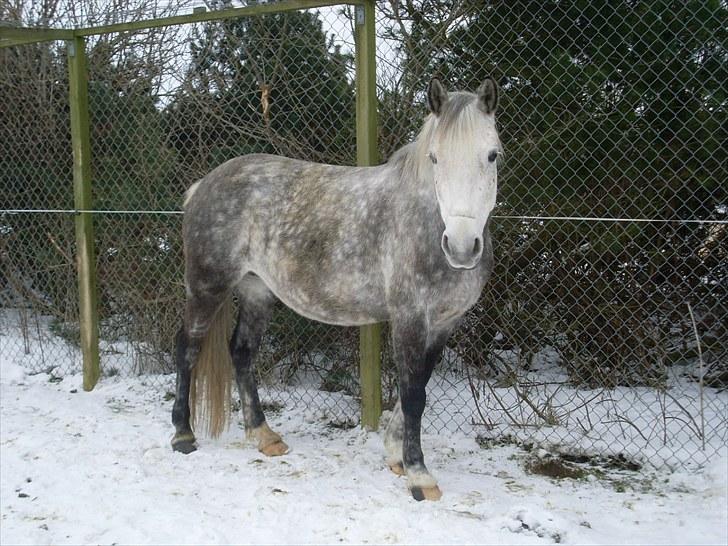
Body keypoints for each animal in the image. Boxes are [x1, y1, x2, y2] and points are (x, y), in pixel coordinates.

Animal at [171, 77, 500, 502]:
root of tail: (202, 185)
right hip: (206, 287)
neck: (425, 224)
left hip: (257, 290)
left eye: (492, 155)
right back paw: (182, 435)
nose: (461, 247)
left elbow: (419, 387)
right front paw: (419, 475)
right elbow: (414, 394)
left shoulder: (444, 323)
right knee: (187, 349)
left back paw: (264, 435)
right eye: (434, 158)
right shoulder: (410, 319)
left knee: (241, 352)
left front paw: (395, 455)